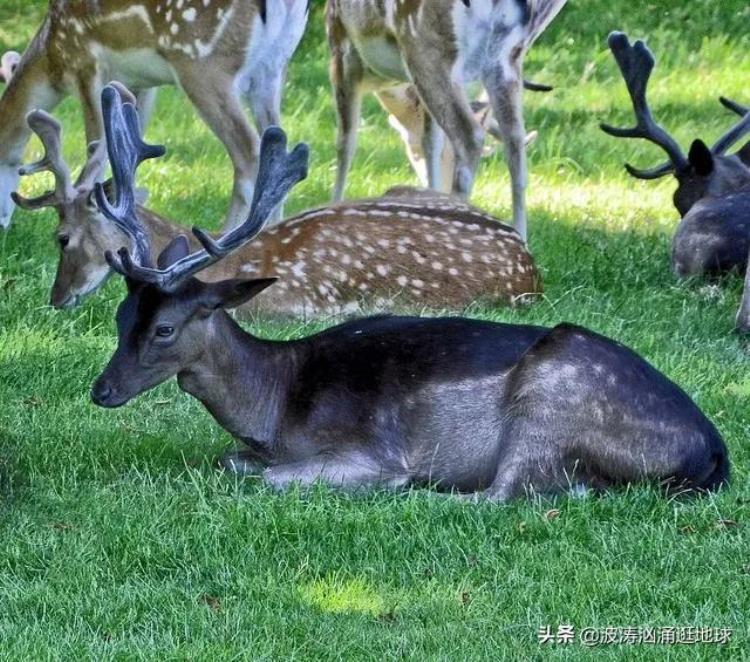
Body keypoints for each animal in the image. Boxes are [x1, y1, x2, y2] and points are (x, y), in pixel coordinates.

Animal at [0, 0, 308, 233]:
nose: (4, 228)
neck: (52, 61)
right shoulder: (142, 83)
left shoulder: (85, 64)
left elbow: (95, 148)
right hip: (273, 68)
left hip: (203, 63)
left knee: (248, 154)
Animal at [88, 83, 728, 500]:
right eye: (121, 317)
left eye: (164, 328)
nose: (101, 390)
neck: (278, 406)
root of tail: (712, 456)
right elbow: (230, 460)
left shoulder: (366, 448)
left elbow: (268, 478)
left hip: (550, 402)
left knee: (504, 495)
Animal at [328, 0, 568, 244]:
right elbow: (432, 142)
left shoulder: (341, 50)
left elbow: (345, 143)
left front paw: (333, 204)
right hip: (506, 61)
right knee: (515, 142)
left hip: (429, 54)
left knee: (470, 135)